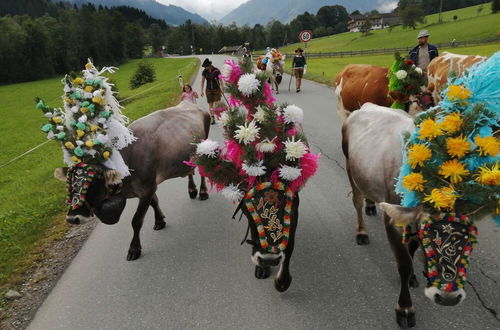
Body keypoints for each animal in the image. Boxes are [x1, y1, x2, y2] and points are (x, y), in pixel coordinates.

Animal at [53, 100, 210, 260]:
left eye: (93, 182)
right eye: (69, 183)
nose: (72, 219)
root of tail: (190, 103)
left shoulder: (147, 188)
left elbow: (136, 220)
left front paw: (134, 248)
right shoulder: (146, 189)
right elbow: (154, 202)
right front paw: (160, 220)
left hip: (204, 149)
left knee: (203, 171)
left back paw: (203, 192)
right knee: (190, 170)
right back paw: (192, 190)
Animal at [342, 104, 478, 328]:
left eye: (470, 238)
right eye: (429, 235)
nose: (448, 298)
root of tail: (365, 106)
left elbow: (412, 249)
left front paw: (414, 275)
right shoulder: (393, 220)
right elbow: (404, 263)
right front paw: (405, 308)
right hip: (350, 169)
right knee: (357, 201)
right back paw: (362, 231)